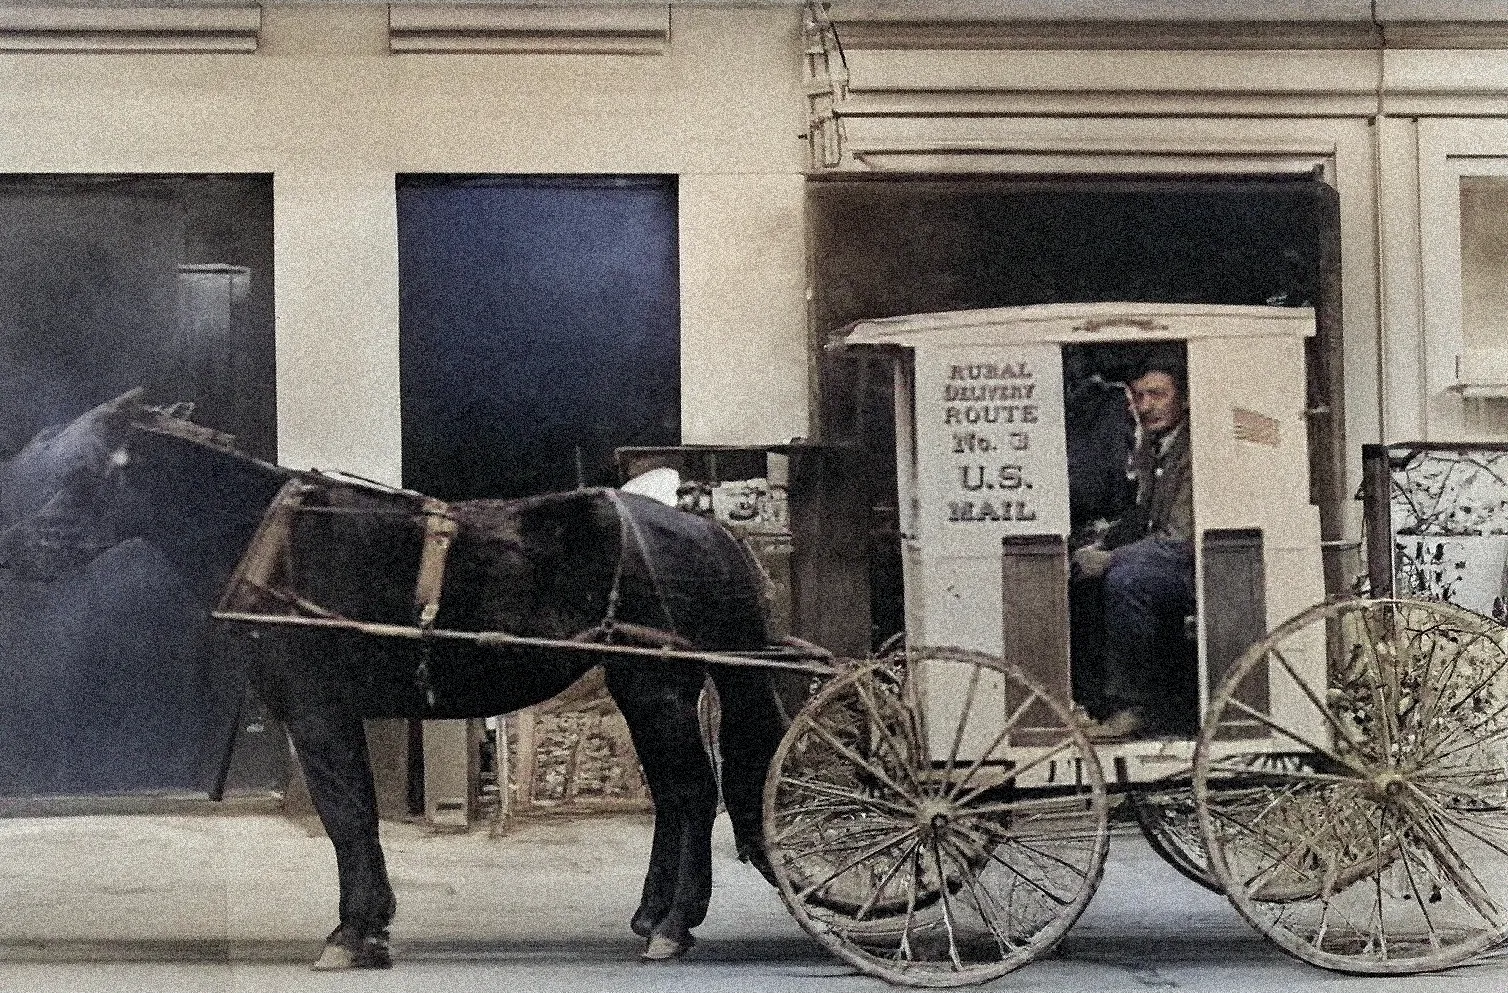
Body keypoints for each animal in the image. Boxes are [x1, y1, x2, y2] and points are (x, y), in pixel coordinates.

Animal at [20, 392, 790, 965]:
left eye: (86, 469)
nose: (23, 549)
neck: (275, 542)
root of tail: (711, 531)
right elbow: (355, 809)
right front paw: (372, 924)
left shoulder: (317, 707)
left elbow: (345, 810)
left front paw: (351, 934)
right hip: (647, 688)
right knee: (675, 797)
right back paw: (656, 915)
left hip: (656, 687)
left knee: (693, 793)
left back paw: (673, 924)